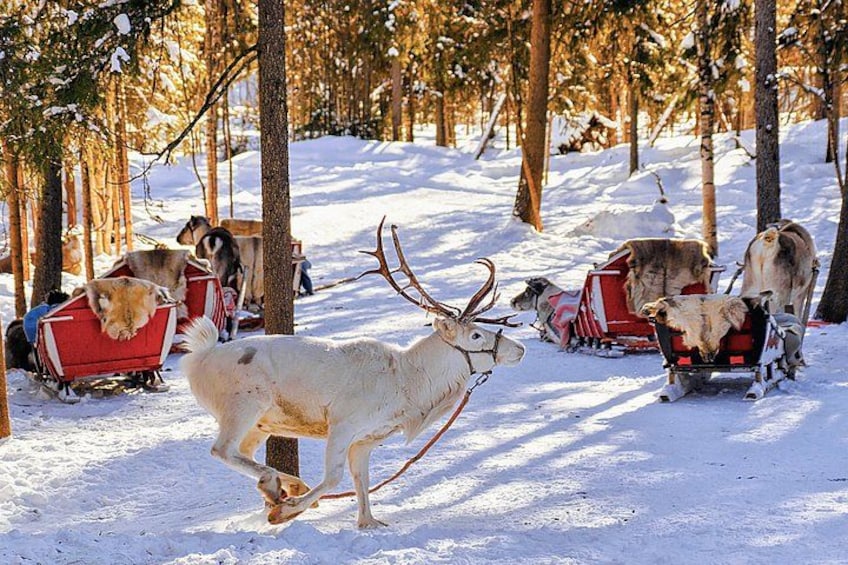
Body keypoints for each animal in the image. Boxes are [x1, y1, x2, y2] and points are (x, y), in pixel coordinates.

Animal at [179, 218, 525, 529]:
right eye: (476, 335)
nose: (520, 348)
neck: (409, 387)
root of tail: (199, 359)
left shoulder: (367, 439)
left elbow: (362, 481)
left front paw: (368, 522)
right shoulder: (342, 422)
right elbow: (334, 477)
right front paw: (287, 511)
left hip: (263, 421)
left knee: (244, 450)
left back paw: (284, 486)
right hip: (244, 404)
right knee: (222, 449)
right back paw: (277, 487)